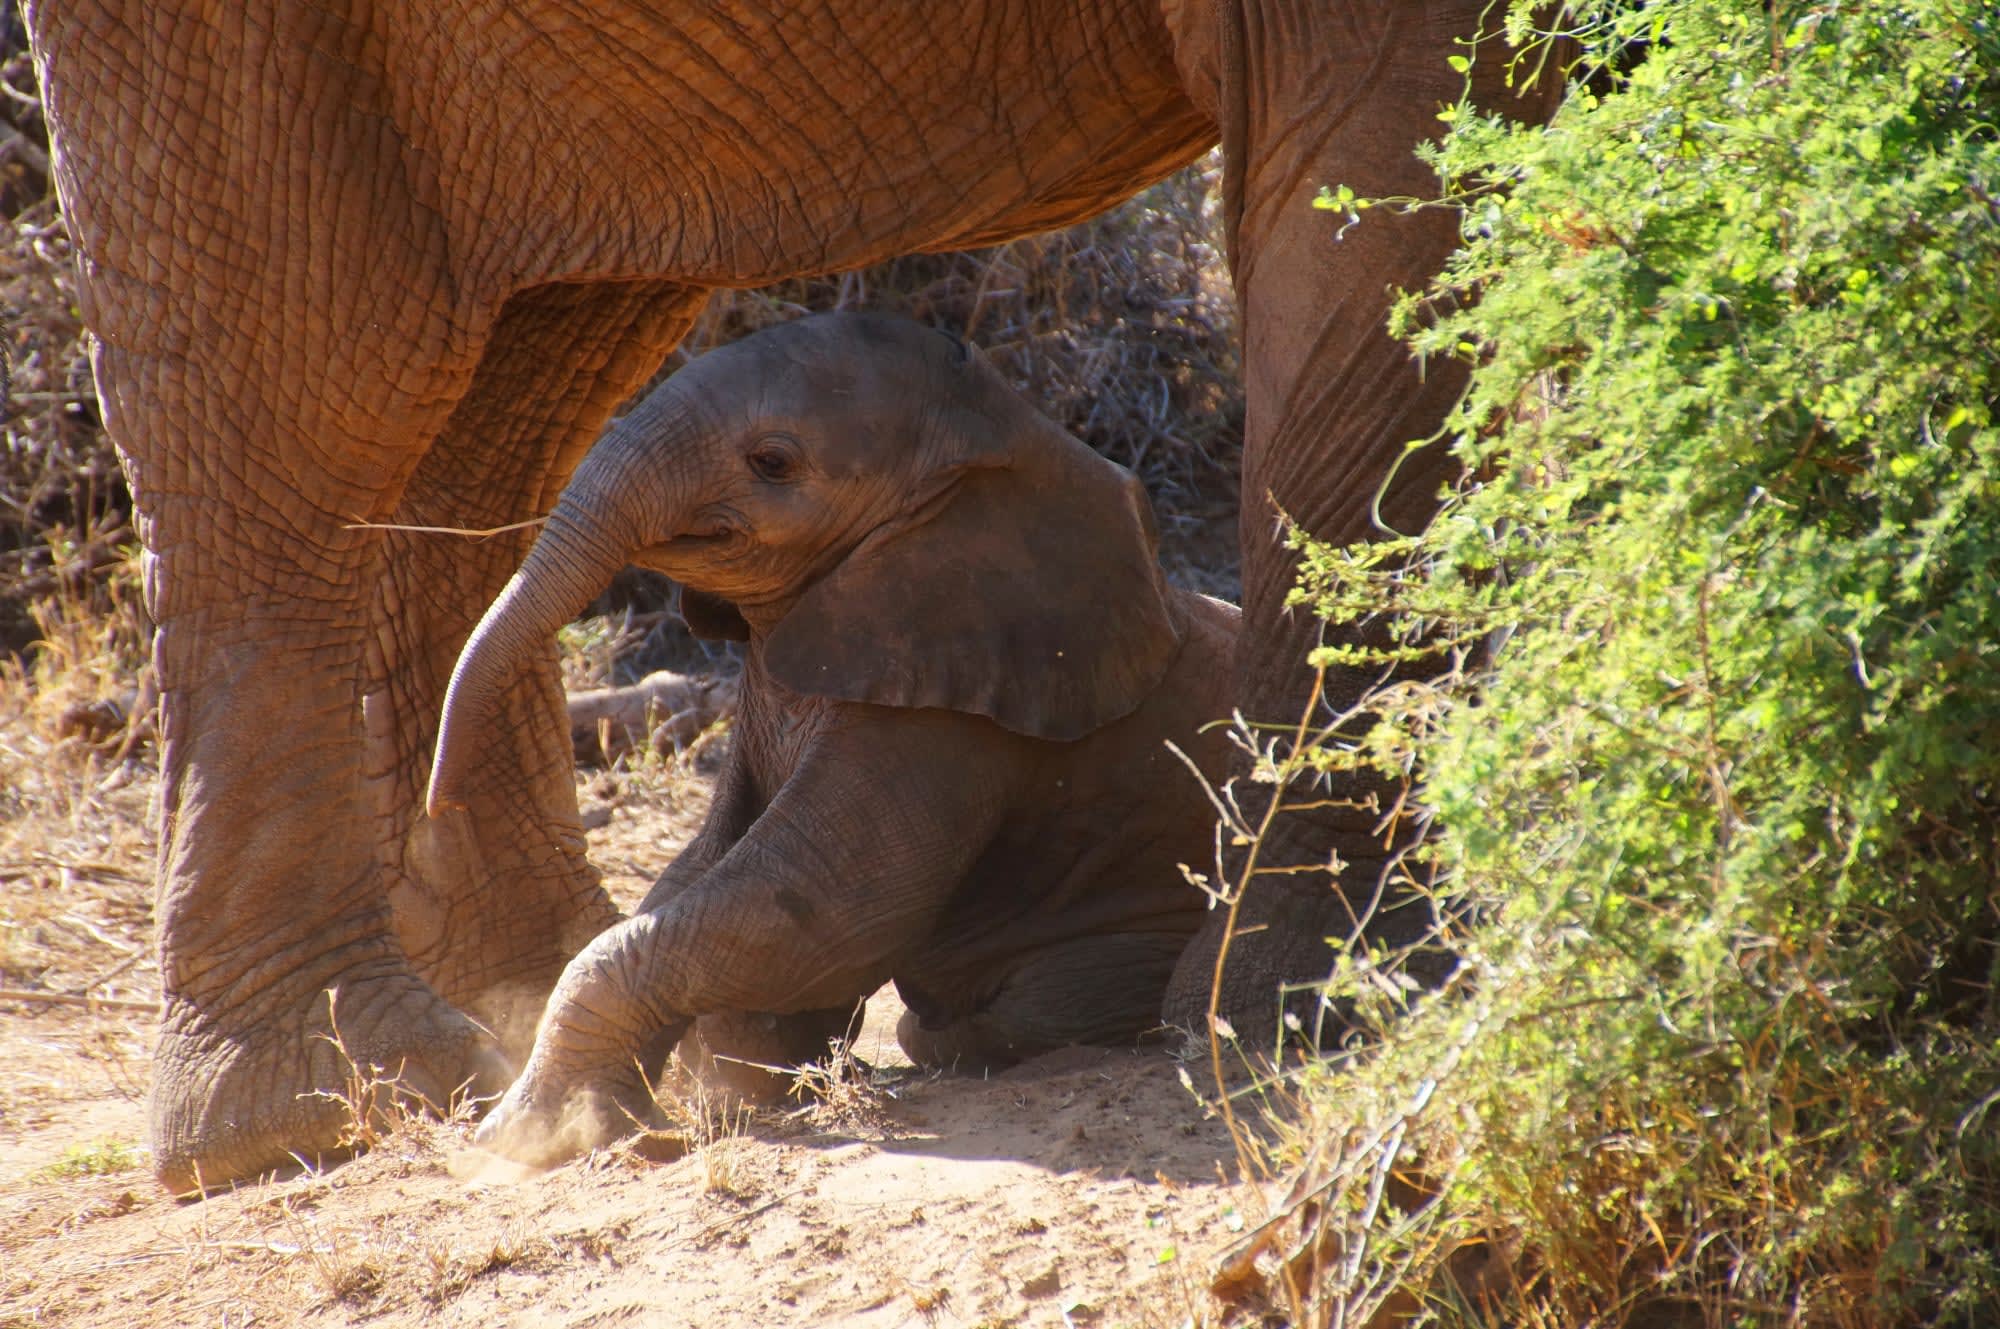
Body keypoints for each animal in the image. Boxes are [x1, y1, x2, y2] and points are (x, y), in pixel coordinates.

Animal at [424, 312, 1240, 1163]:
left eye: (772, 462)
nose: (438, 811)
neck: (1000, 435)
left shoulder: (952, 711)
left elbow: (824, 904)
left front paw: (529, 1138)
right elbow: (702, 872)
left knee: (1000, 1011)